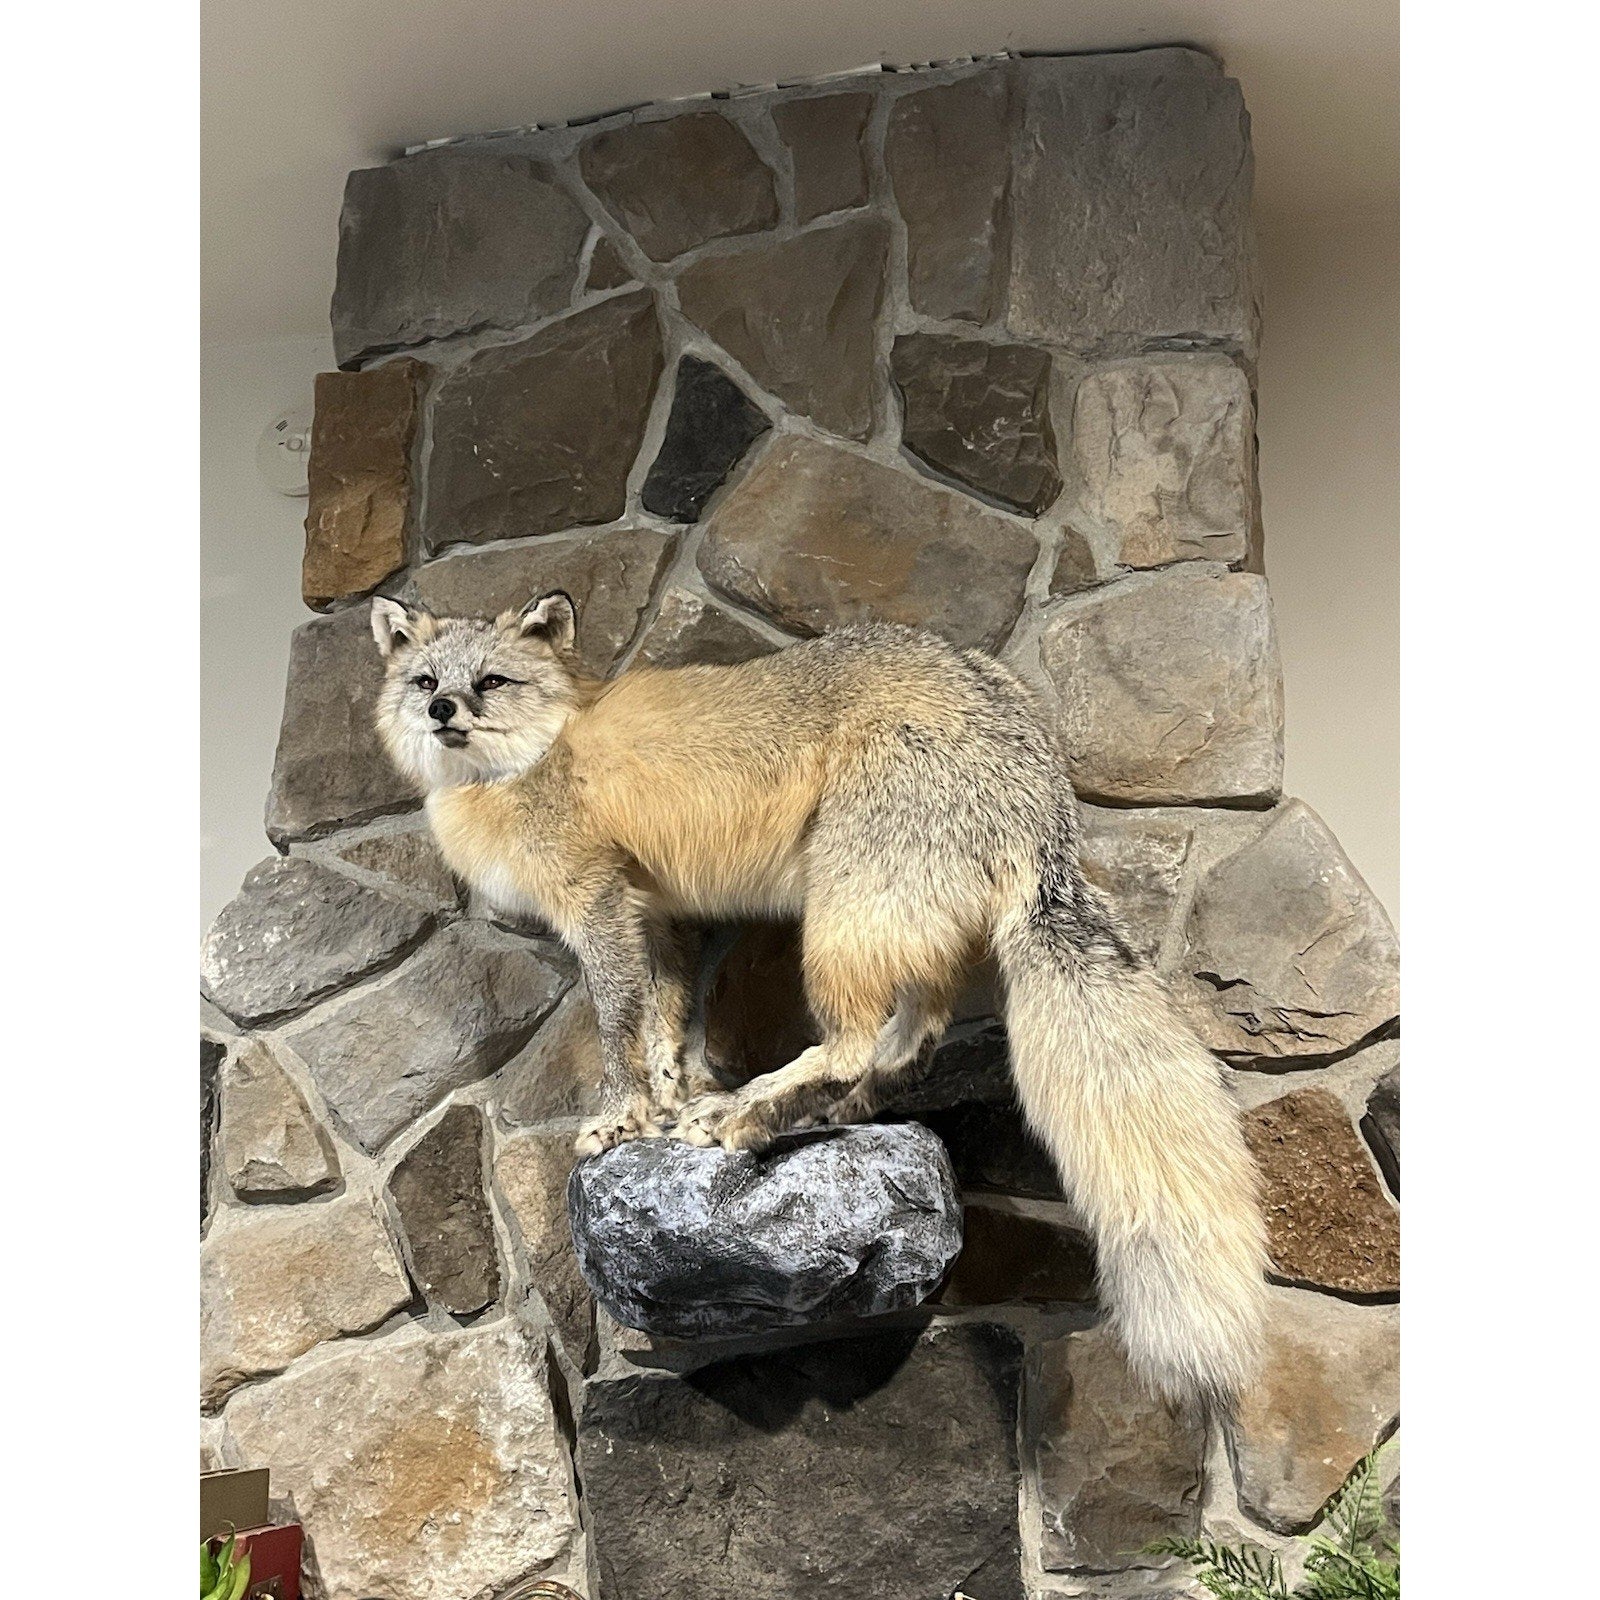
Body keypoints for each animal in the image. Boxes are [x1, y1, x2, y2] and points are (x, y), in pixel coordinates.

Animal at [370, 589, 1268, 1406]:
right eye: (426, 681)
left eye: (490, 681)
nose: (443, 710)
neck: (543, 754)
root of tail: (1038, 766)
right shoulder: (659, 915)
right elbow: (665, 1029)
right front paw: (662, 1104)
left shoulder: (599, 907)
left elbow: (620, 1024)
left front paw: (622, 1119)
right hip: (899, 935)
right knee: (911, 1043)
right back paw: (834, 1110)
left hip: (837, 923)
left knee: (852, 1043)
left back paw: (749, 1112)